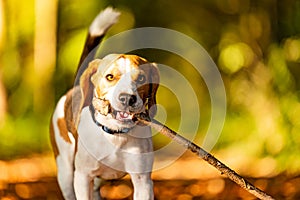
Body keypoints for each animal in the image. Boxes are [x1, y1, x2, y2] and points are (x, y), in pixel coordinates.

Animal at [49, 7, 159, 199]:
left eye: (142, 78)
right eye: (110, 77)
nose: (127, 98)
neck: (115, 134)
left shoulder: (143, 181)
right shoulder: (82, 177)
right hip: (66, 173)